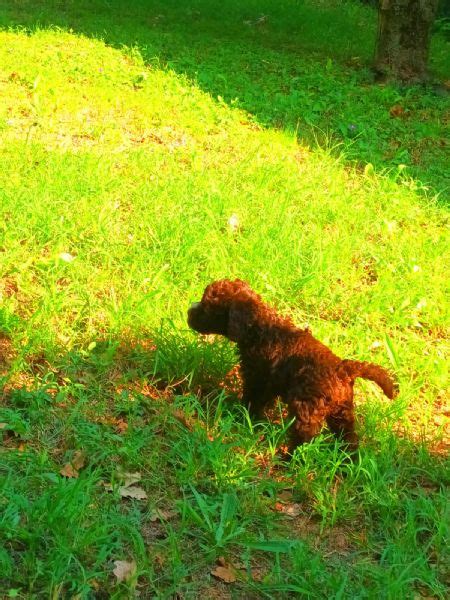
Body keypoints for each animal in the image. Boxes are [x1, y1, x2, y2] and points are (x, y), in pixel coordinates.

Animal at [187, 278, 398, 452]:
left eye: (207, 306)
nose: (188, 312)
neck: (259, 327)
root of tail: (343, 369)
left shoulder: (258, 378)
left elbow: (252, 400)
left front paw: (241, 417)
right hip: (342, 411)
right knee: (349, 439)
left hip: (307, 410)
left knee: (304, 439)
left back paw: (289, 458)